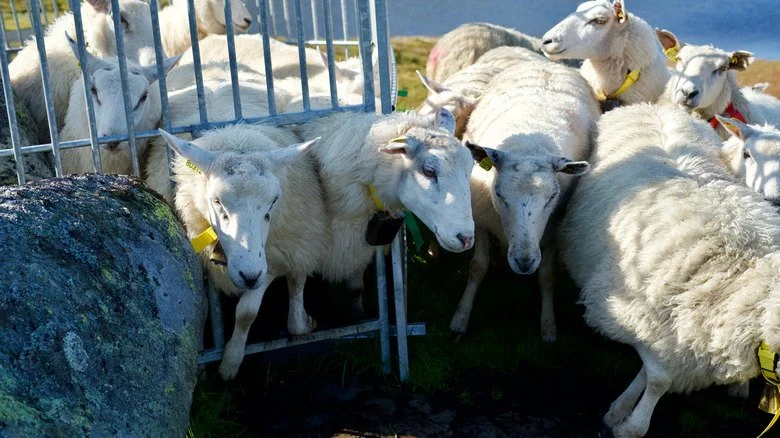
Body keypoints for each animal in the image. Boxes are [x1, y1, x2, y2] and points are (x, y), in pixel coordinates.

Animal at [156, 126, 324, 380]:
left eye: (274, 200)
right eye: (216, 201)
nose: (249, 276)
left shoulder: (269, 262)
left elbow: (247, 312)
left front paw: (230, 362)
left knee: (297, 277)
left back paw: (300, 322)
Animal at [296, 107, 477, 319]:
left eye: (470, 168)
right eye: (429, 171)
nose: (466, 239)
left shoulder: (355, 247)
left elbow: (356, 288)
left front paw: (358, 314)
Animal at [453, 60, 599, 341]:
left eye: (552, 196)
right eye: (498, 193)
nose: (524, 263)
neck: (529, 144)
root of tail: (546, 63)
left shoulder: (552, 230)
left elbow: (547, 276)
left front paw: (548, 325)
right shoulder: (480, 218)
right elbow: (477, 267)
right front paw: (460, 318)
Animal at [559, 102, 780, 438]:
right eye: (748, 155)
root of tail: (656, 106)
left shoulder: (676, 328)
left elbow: (657, 372)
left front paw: (620, 413)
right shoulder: (640, 312)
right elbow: (659, 378)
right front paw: (626, 421)